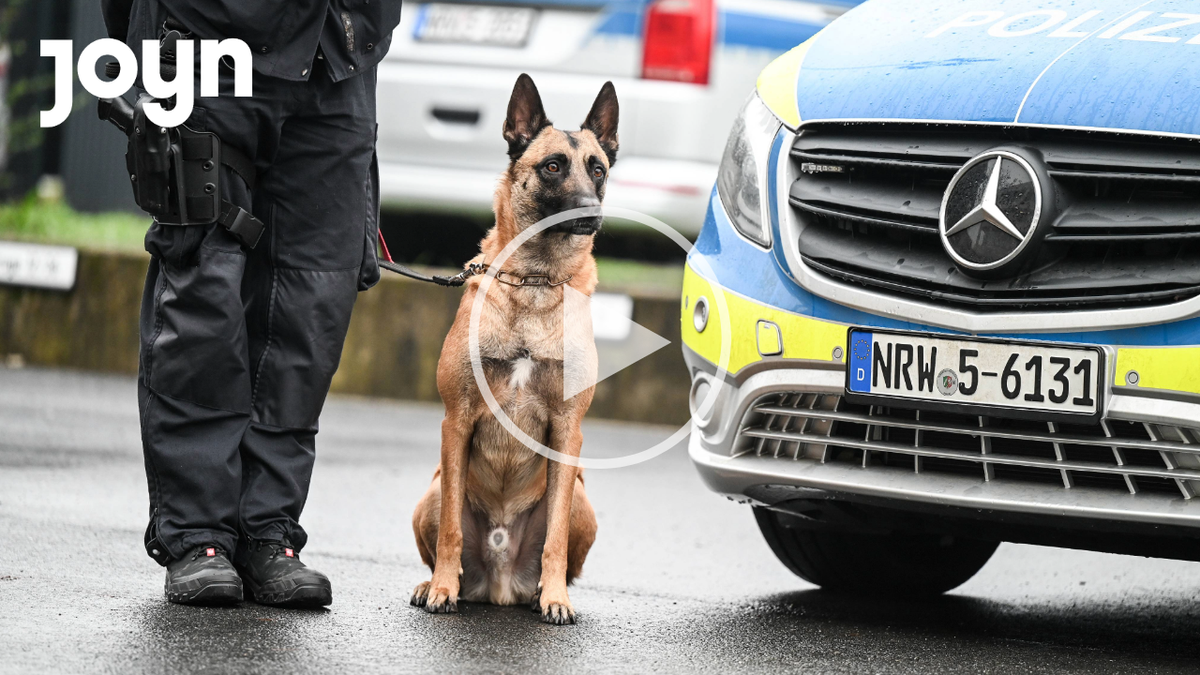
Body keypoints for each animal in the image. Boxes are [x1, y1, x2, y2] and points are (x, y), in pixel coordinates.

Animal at [410, 72, 619, 619]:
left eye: (598, 169)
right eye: (552, 167)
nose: (592, 212)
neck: (534, 282)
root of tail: (500, 586)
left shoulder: (568, 431)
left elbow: (555, 540)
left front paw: (556, 598)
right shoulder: (456, 420)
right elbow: (452, 533)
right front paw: (443, 588)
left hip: (583, 499)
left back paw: (545, 593)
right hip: (433, 490)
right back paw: (434, 583)